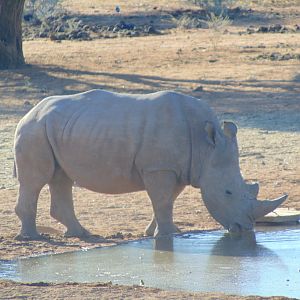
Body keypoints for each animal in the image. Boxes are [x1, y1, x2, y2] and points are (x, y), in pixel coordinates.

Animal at [12, 89, 288, 239]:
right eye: (228, 192)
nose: (245, 229)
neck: (206, 147)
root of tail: (29, 113)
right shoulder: (160, 167)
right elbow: (163, 200)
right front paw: (166, 235)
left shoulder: (178, 168)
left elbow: (168, 199)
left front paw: (163, 231)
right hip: (34, 131)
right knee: (36, 181)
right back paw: (33, 237)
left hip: (57, 129)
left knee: (61, 177)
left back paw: (81, 233)